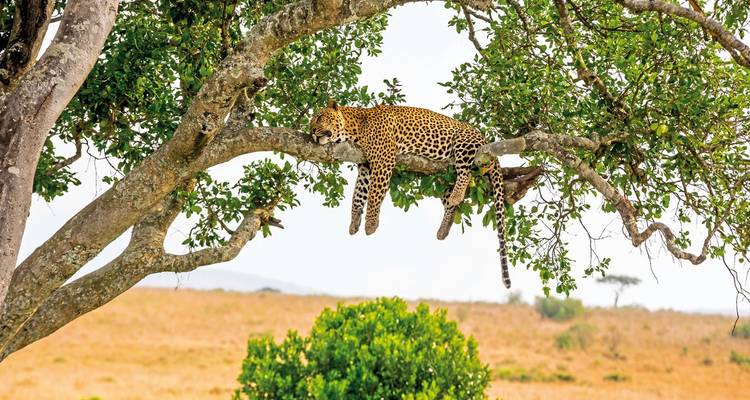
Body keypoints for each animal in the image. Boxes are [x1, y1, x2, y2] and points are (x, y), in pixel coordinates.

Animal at [310, 100, 511, 288]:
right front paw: (353, 223)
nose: (311, 130)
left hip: (464, 143)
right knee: (451, 203)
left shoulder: (384, 160)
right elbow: (358, 196)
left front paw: (370, 225)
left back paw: (456, 195)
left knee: (466, 172)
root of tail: (485, 139)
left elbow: (374, 194)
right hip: (445, 177)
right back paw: (444, 228)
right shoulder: (365, 166)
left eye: (320, 117)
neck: (354, 128)